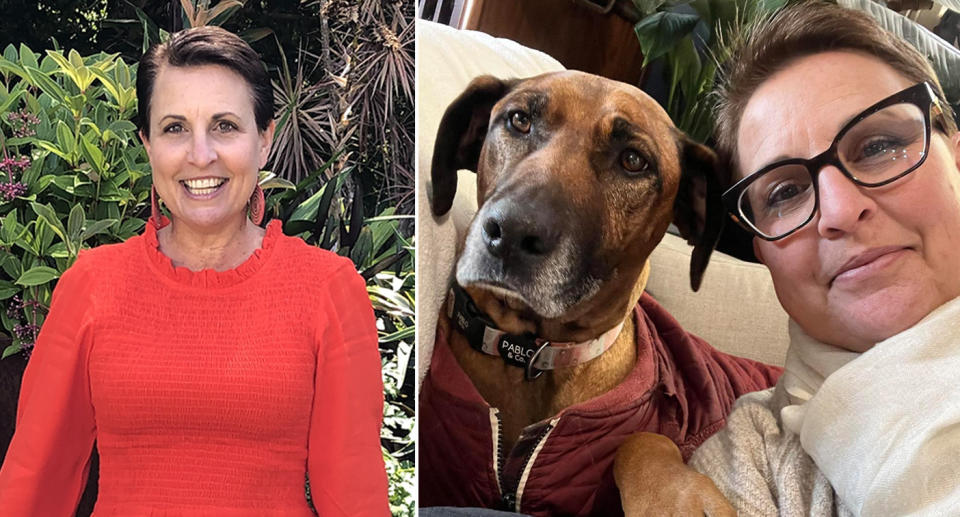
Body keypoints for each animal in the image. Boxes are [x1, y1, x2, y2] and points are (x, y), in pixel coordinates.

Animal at [420, 71, 772, 516]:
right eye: (519, 120)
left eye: (633, 161)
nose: (511, 233)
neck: (532, 354)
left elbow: (640, 440)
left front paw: (677, 499)